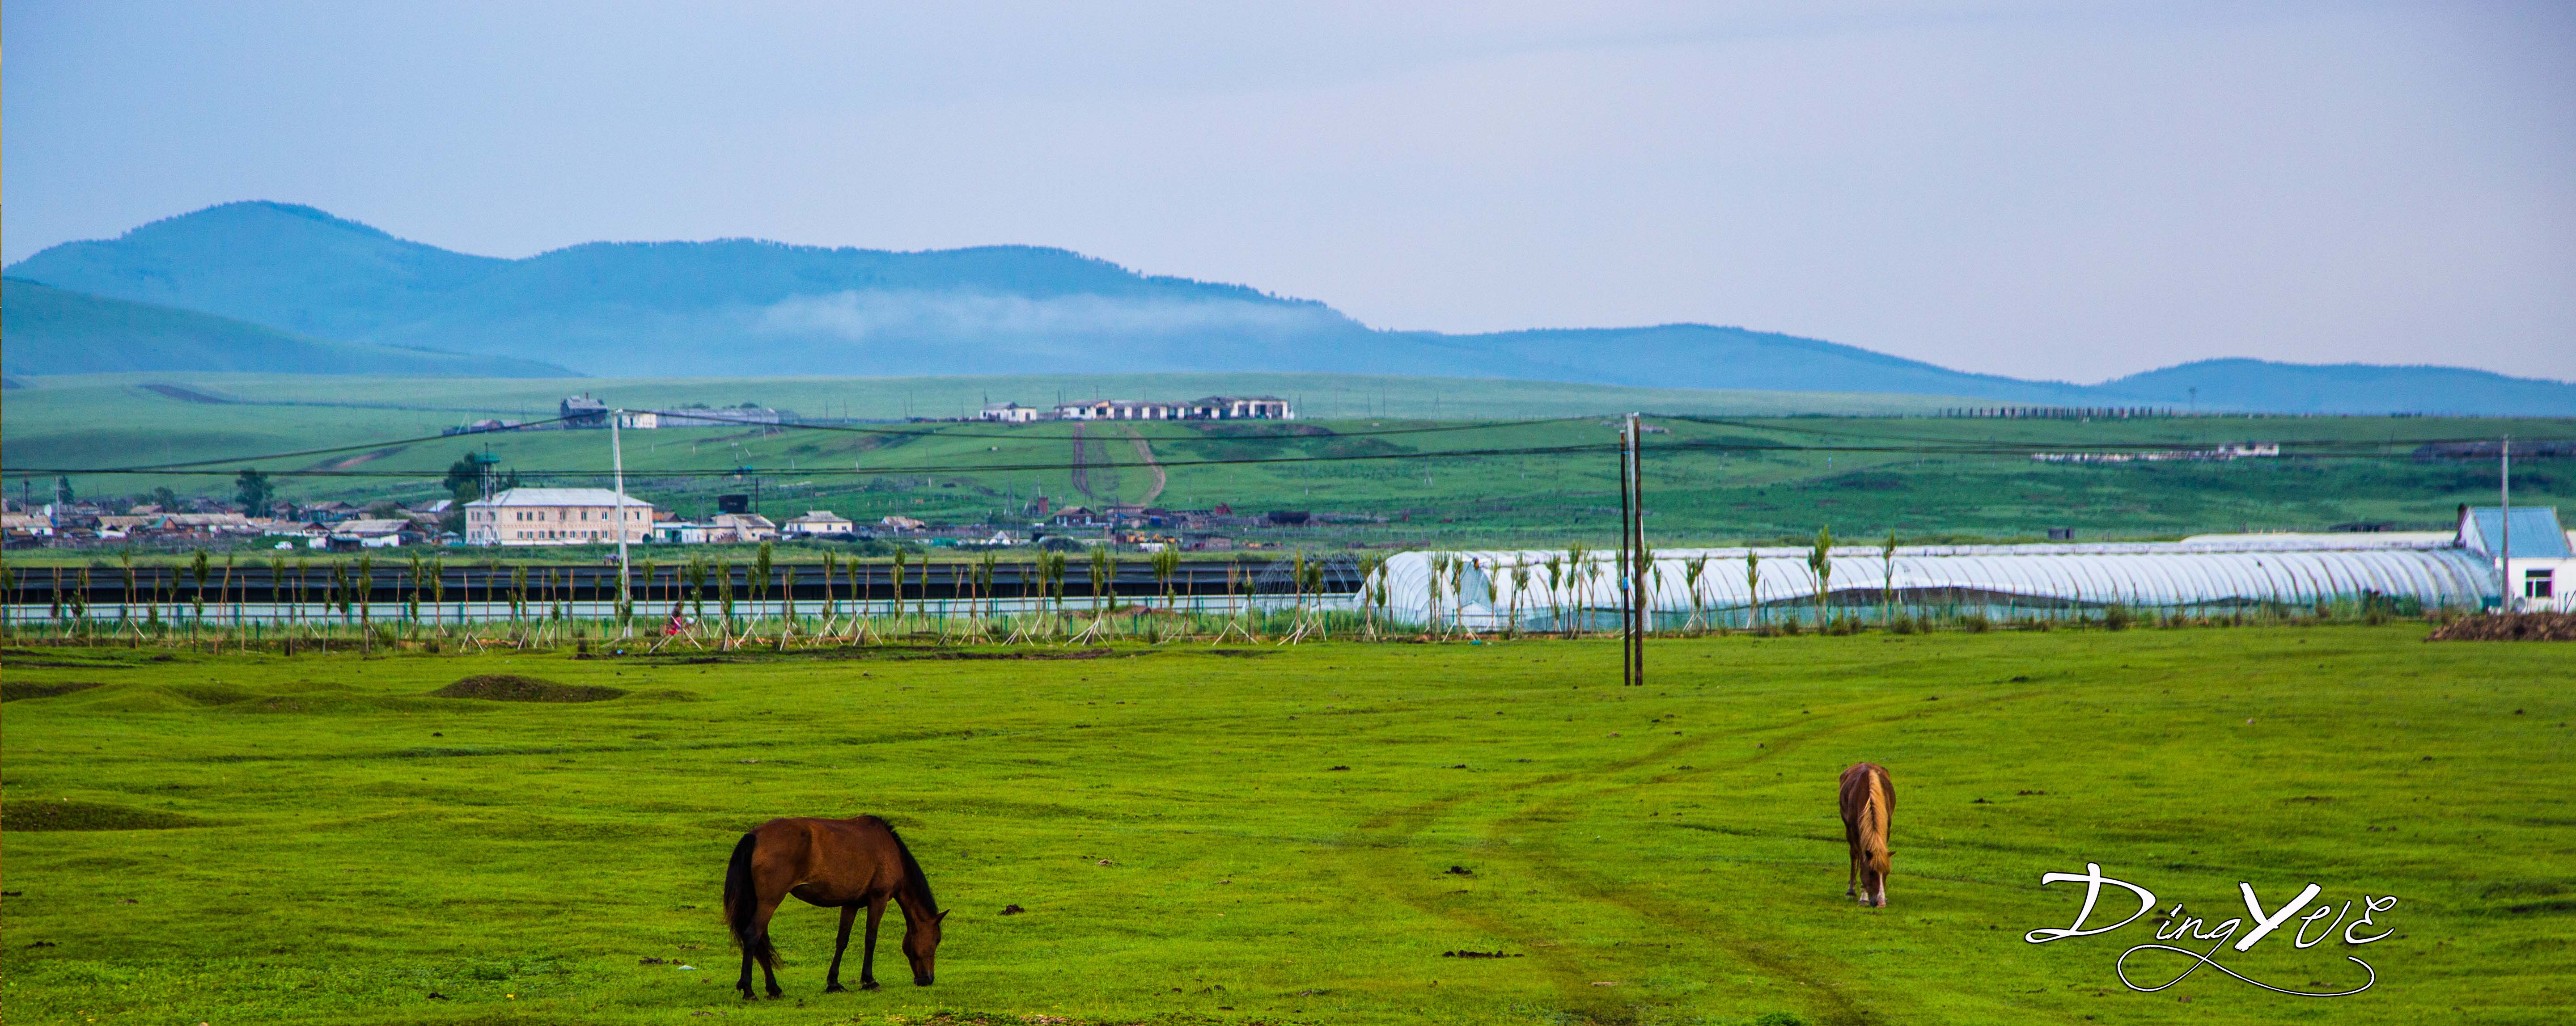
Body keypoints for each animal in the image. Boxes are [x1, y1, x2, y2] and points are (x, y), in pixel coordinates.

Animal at [726, 815, 948, 1000]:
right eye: (937, 940)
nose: (928, 979)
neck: (891, 850)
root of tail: (754, 835)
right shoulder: (879, 899)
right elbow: (871, 939)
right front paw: (869, 980)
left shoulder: (850, 904)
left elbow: (842, 941)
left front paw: (833, 983)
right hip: (770, 902)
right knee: (753, 936)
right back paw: (749, 990)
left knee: (761, 940)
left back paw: (774, 989)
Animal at [1834, 763, 1896, 907]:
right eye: (1872, 873)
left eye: (1887, 873)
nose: (1880, 903)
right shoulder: (1855, 832)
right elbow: (1861, 859)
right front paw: (1864, 896)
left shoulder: (1886, 830)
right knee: (1854, 854)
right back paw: (1851, 891)